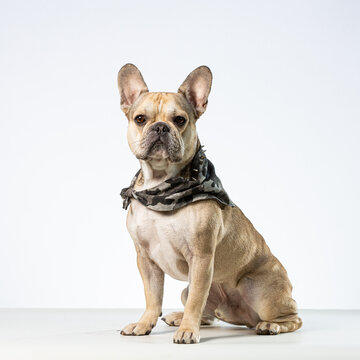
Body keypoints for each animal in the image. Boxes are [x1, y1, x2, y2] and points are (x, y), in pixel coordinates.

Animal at [117, 64, 300, 344]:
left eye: (180, 120)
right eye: (140, 119)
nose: (160, 127)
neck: (161, 187)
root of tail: (244, 317)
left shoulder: (201, 257)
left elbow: (196, 299)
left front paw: (187, 332)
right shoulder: (145, 260)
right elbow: (152, 296)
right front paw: (144, 324)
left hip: (260, 291)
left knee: (292, 318)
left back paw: (271, 326)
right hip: (195, 291)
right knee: (209, 313)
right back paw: (178, 317)